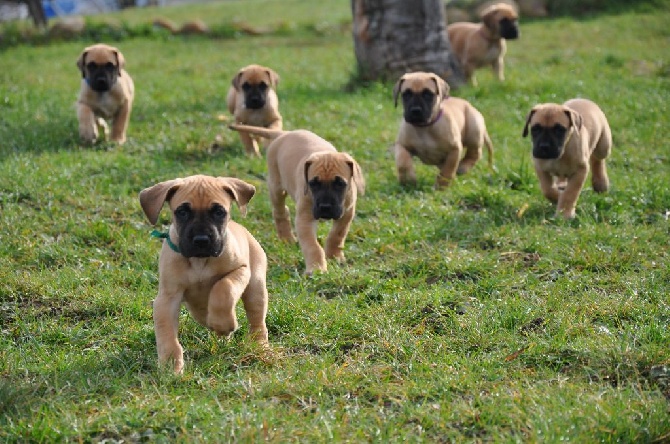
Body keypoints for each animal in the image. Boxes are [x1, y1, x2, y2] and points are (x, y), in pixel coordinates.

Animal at [138, 175, 268, 372]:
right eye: (182, 212)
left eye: (219, 212)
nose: (201, 240)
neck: (199, 262)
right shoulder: (167, 298)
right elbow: (166, 332)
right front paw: (170, 363)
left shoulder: (241, 270)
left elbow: (223, 287)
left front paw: (225, 323)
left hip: (255, 287)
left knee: (257, 320)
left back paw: (259, 345)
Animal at [231, 124, 368, 274]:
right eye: (313, 183)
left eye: (340, 184)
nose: (325, 207)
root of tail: (283, 134)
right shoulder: (304, 219)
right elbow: (313, 246)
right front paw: (316, 267)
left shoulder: (347, 213)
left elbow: (337, 235)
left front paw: (334, 256)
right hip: (276, 187)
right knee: (280, 211)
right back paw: (287, 238)